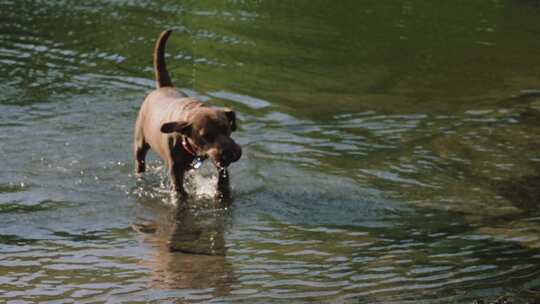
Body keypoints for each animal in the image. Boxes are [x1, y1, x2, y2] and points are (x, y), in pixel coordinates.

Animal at [134, 30, 244, 200]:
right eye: (205, 136)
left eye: (226, 128)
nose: (230, 153)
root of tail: (163, 87)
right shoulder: (175, 167)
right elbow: (179, 190)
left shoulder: (215, 158)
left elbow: (222, 175)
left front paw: (221, 192)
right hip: (140, 142)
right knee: (140, 161)